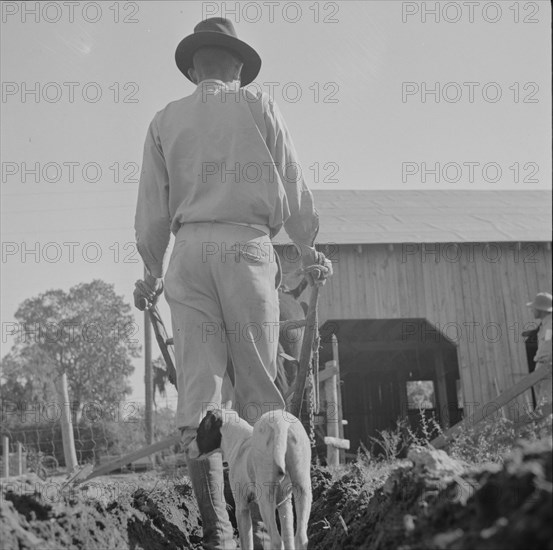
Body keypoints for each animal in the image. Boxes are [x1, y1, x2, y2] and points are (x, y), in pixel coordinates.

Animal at [189, 410, 310, 550]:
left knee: (277, 541)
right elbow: (289, 539)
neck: (240, 442)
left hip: (266, 500)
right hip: (303, 489)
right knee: (300, 538)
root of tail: (281, 423)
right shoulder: (284, 503)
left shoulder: (242, 507)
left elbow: (246, 541)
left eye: (199, 431)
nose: (186, 449)